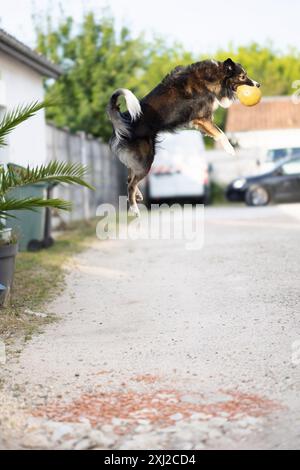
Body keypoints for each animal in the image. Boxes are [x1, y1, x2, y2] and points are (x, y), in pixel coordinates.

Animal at [108, 57, 260, 217]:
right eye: (242, 76)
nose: (258, 85)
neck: (212, 77)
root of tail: (124, 120)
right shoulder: (202, 118)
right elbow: (221, 134)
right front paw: (230, 149)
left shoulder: (200, 122)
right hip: (145, 159)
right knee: (131, 184)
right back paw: (134, 209)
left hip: (139, 159)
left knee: (130, 178)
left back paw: (137, 196)